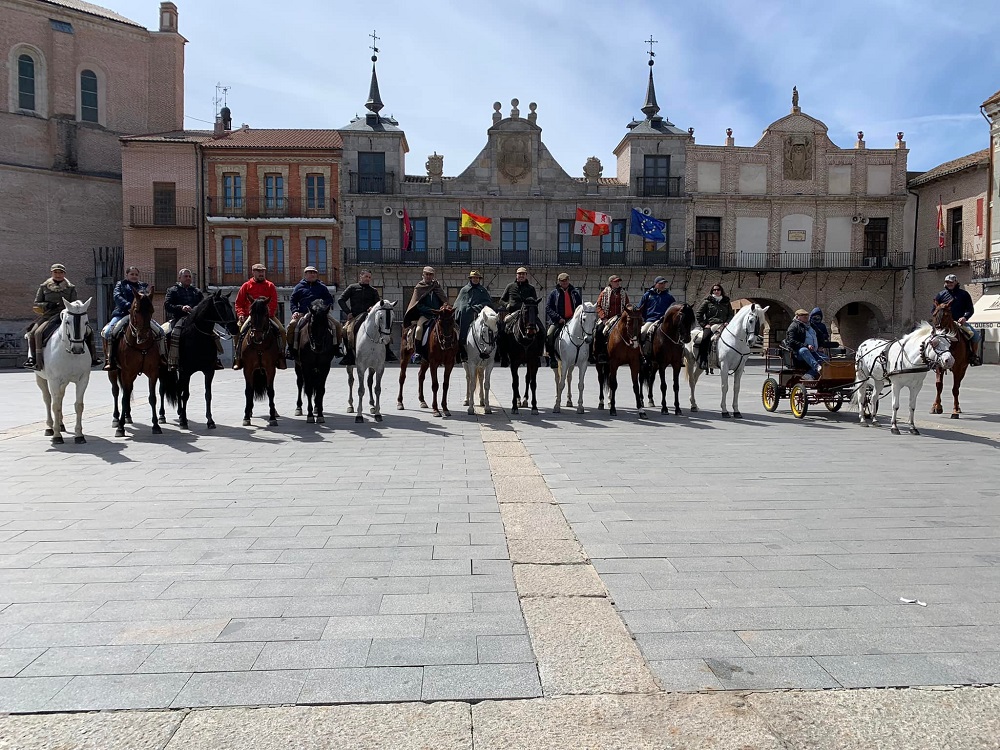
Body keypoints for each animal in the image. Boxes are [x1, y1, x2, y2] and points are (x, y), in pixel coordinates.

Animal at [34, 296, 94, 444]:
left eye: (86, 322)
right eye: (67, 321)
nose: (77, 349)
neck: (69, 353)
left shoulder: (83, 380)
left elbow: (79, 405)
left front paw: (79, 435)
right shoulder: (54, 380)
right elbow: (54, 405)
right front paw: (57, 436)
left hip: (64, 382)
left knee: (60, 397)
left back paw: (60, 424)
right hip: (41, 378)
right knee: (48, 399)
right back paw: (50, 427)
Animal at [111, 290, 172, 438]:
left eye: (152, 310)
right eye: (136, 310)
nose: (143, 335)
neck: (140, 346)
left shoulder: (153, 372)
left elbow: (152, 398)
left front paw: (156, 425)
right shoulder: (126, 373)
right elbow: (123, 398)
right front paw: (120, 428)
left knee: (128, 391)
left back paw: (127, 416)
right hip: (114, 372)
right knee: (116, 391)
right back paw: (116, 419)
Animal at [159, 290, 239, 428]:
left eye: (230, 305)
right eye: (220, 306)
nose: (235, 328)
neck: (197, 337)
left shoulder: (209, 371)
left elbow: (208, 395)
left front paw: (210, 421)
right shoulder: (186, 371)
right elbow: (185, 395)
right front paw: (184, 421)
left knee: (178, 388)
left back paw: (179, 412)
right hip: (164, 369)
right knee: (163, 389)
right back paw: (163, 415)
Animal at [236, 300, 280, 428]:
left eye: (265, 313)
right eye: (251, 313)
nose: (257, 337)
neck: (259, 345)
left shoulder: (270, 368)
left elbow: (270, 391)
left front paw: (272, 417)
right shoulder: (248, 369)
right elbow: (248, 391)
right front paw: (246, 416)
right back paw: (249, 411)